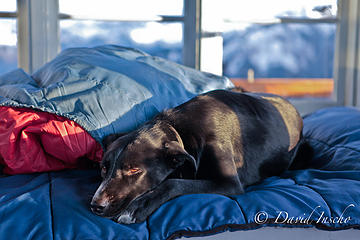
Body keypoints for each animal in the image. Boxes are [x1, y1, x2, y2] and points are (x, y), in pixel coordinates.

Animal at [89, 89, 300, 223]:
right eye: (104, 168)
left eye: (134, 169)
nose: (96, 206)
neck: (180, 130)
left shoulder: (229, 183)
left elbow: (173, 183)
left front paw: (138, 207)